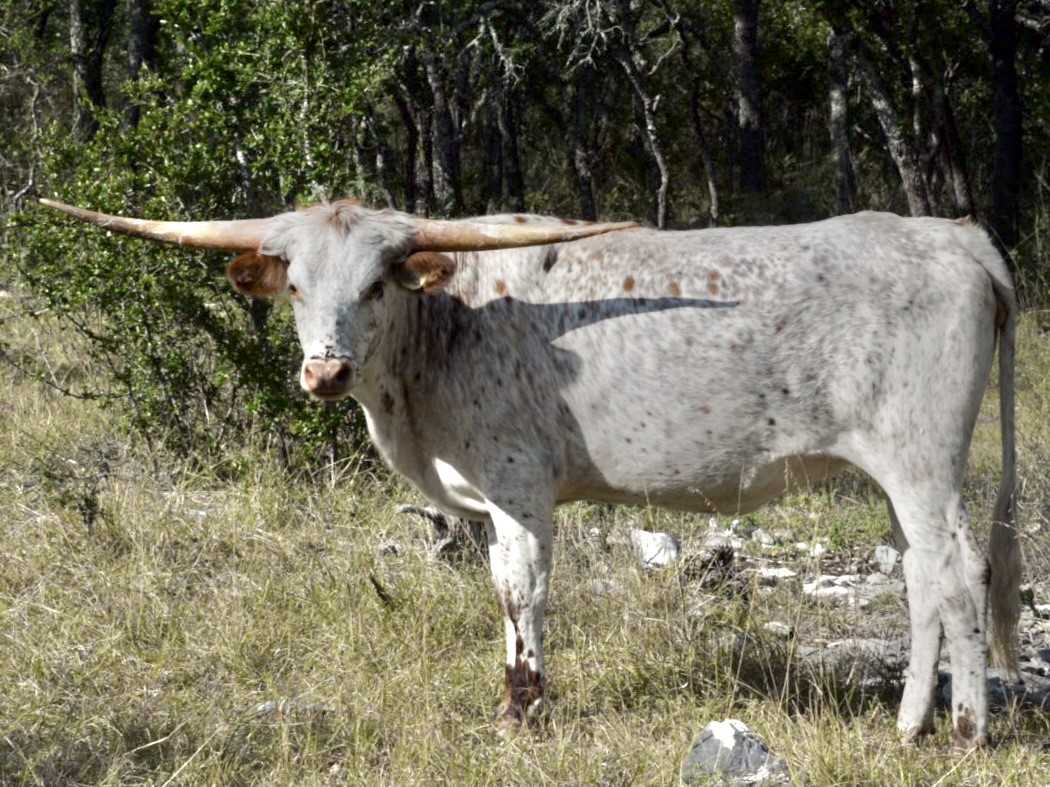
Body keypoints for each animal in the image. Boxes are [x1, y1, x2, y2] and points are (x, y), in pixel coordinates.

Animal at [41, 197, 1020, 750]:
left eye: (377, 284)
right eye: (294, 287)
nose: (325, 371)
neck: (445, 327)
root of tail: (959, 237)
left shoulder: (516, 488)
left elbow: (520, 590)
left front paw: (523, 707)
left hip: (924, 461)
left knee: (959, 571)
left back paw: (964, 731)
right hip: (892, 477)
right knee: (923, 579)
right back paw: (911, 723)